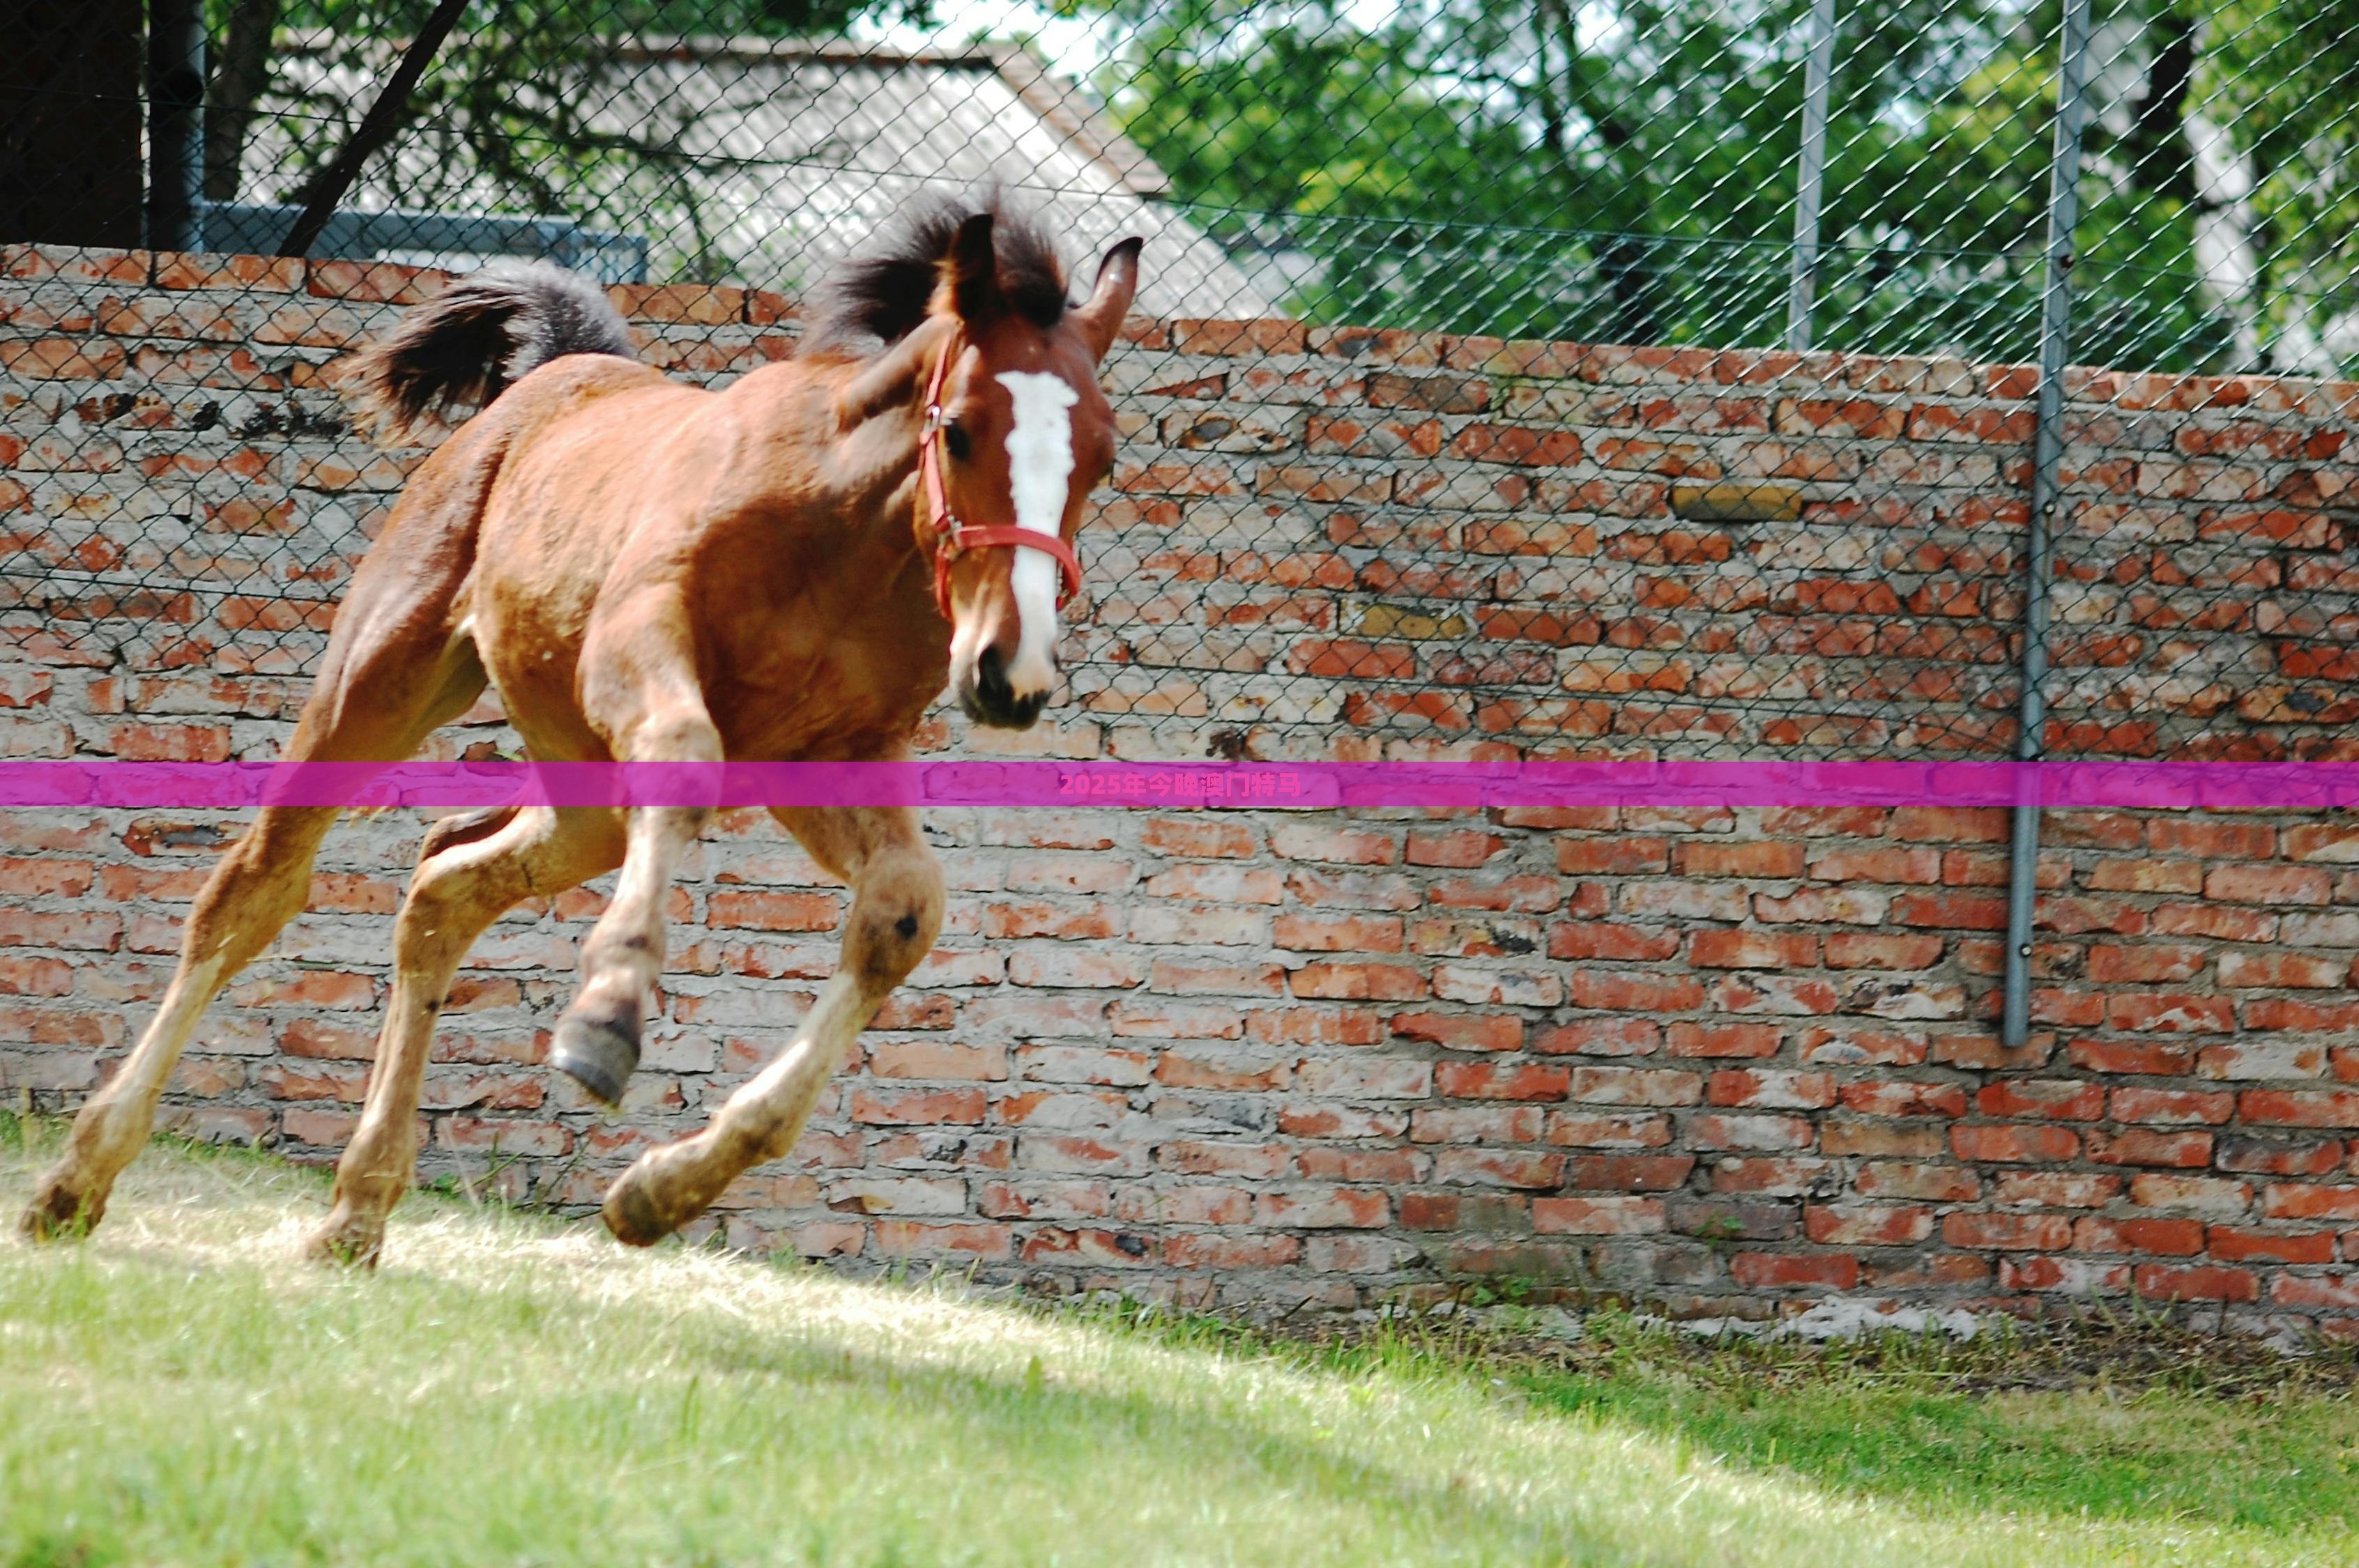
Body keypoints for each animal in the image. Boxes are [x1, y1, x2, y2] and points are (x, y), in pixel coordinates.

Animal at [20, 199, 1141, 1273]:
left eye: (1102, 456)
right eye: (959, 429)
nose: (1010, 673)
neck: (841, 540)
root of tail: (553, 374)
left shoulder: (835, 755)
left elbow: (905, 911)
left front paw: (662, 1190)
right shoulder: (638, 652)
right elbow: (687, 762)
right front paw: (605, 1026)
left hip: (588, 795)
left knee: (444, 887)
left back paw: (357, 1210)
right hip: (379, 684)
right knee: (254, 890)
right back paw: (77, 1182)